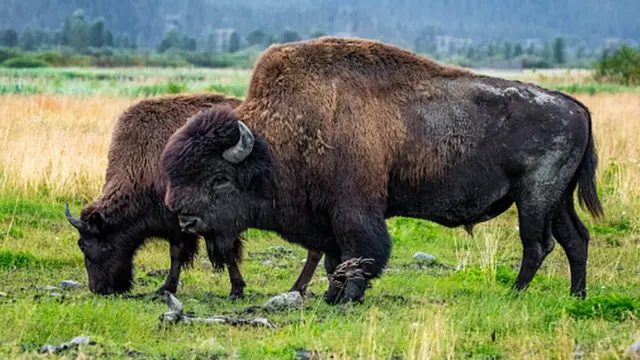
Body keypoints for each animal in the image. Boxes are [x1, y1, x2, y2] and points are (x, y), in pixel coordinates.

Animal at [63, 93, 324, 298]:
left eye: (87, 244)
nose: (99, 289)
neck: (142, 164)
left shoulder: (192, 224)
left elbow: (201, 253)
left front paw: (234, 290)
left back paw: (297, 289)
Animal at [162, 38, 604, 306]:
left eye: (219, 178)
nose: (185, 218)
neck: (280, 140)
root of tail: (576, 106)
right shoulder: (329, 220)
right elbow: (334, 261)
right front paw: (332, 296)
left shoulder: (355, 211)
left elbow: (362, 255)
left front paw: (348, 298)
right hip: (557, 199)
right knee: (575, 239)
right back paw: (577, 296)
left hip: (535, 196)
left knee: (538, 244)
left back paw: (515, 293)